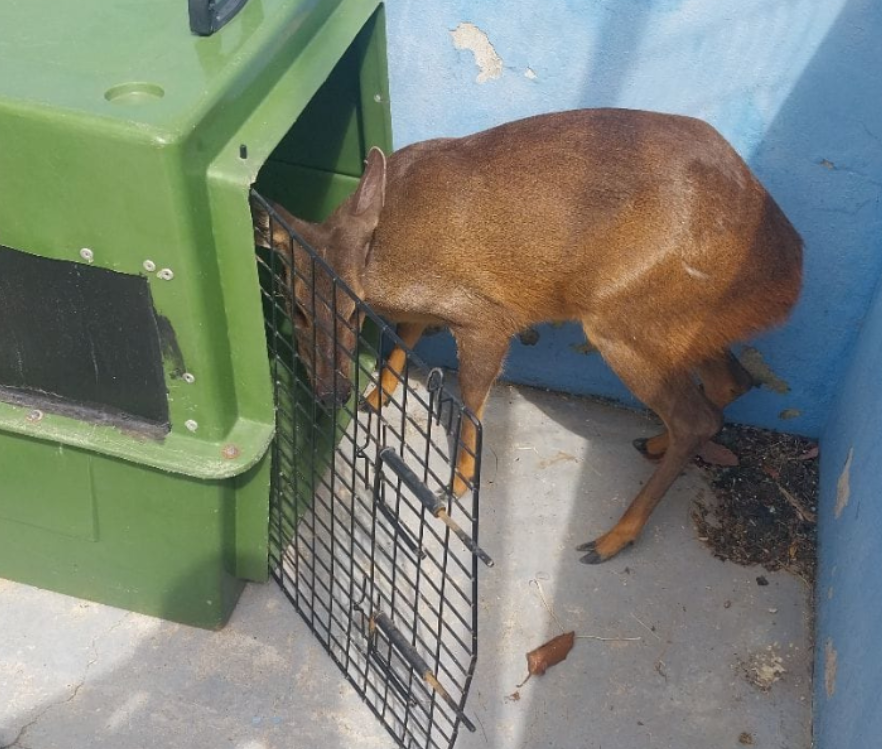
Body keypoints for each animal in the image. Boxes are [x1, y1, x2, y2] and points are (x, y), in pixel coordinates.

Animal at [252, 108, 803, 565]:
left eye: (352, 311)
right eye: (296, 308)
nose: (332, 393)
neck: (387, 247)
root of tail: (789, 273)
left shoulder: (486, 317)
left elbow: (471, 402)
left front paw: (457, 485)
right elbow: (407, 335)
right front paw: (375, 395)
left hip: (623, 316)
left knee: (697, 417)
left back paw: (611, 538)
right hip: (680, 324)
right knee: (730, 385)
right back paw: (653, 442)